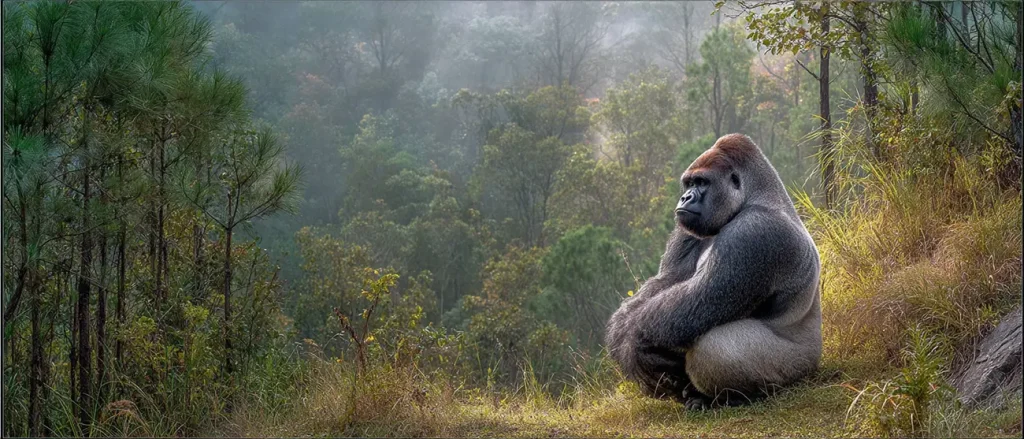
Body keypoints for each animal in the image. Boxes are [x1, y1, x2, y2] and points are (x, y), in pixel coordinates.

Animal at [605, 133, 822, 409]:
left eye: (702, 182)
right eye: (688, 183)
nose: (686, 198)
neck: (758, 194)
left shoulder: (753, 233)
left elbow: (699, 302)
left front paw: (633, 343)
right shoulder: (688, 227)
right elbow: (666, 281)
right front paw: (620, 336)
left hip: (798, 367)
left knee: (715, 346)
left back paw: (736, 397)